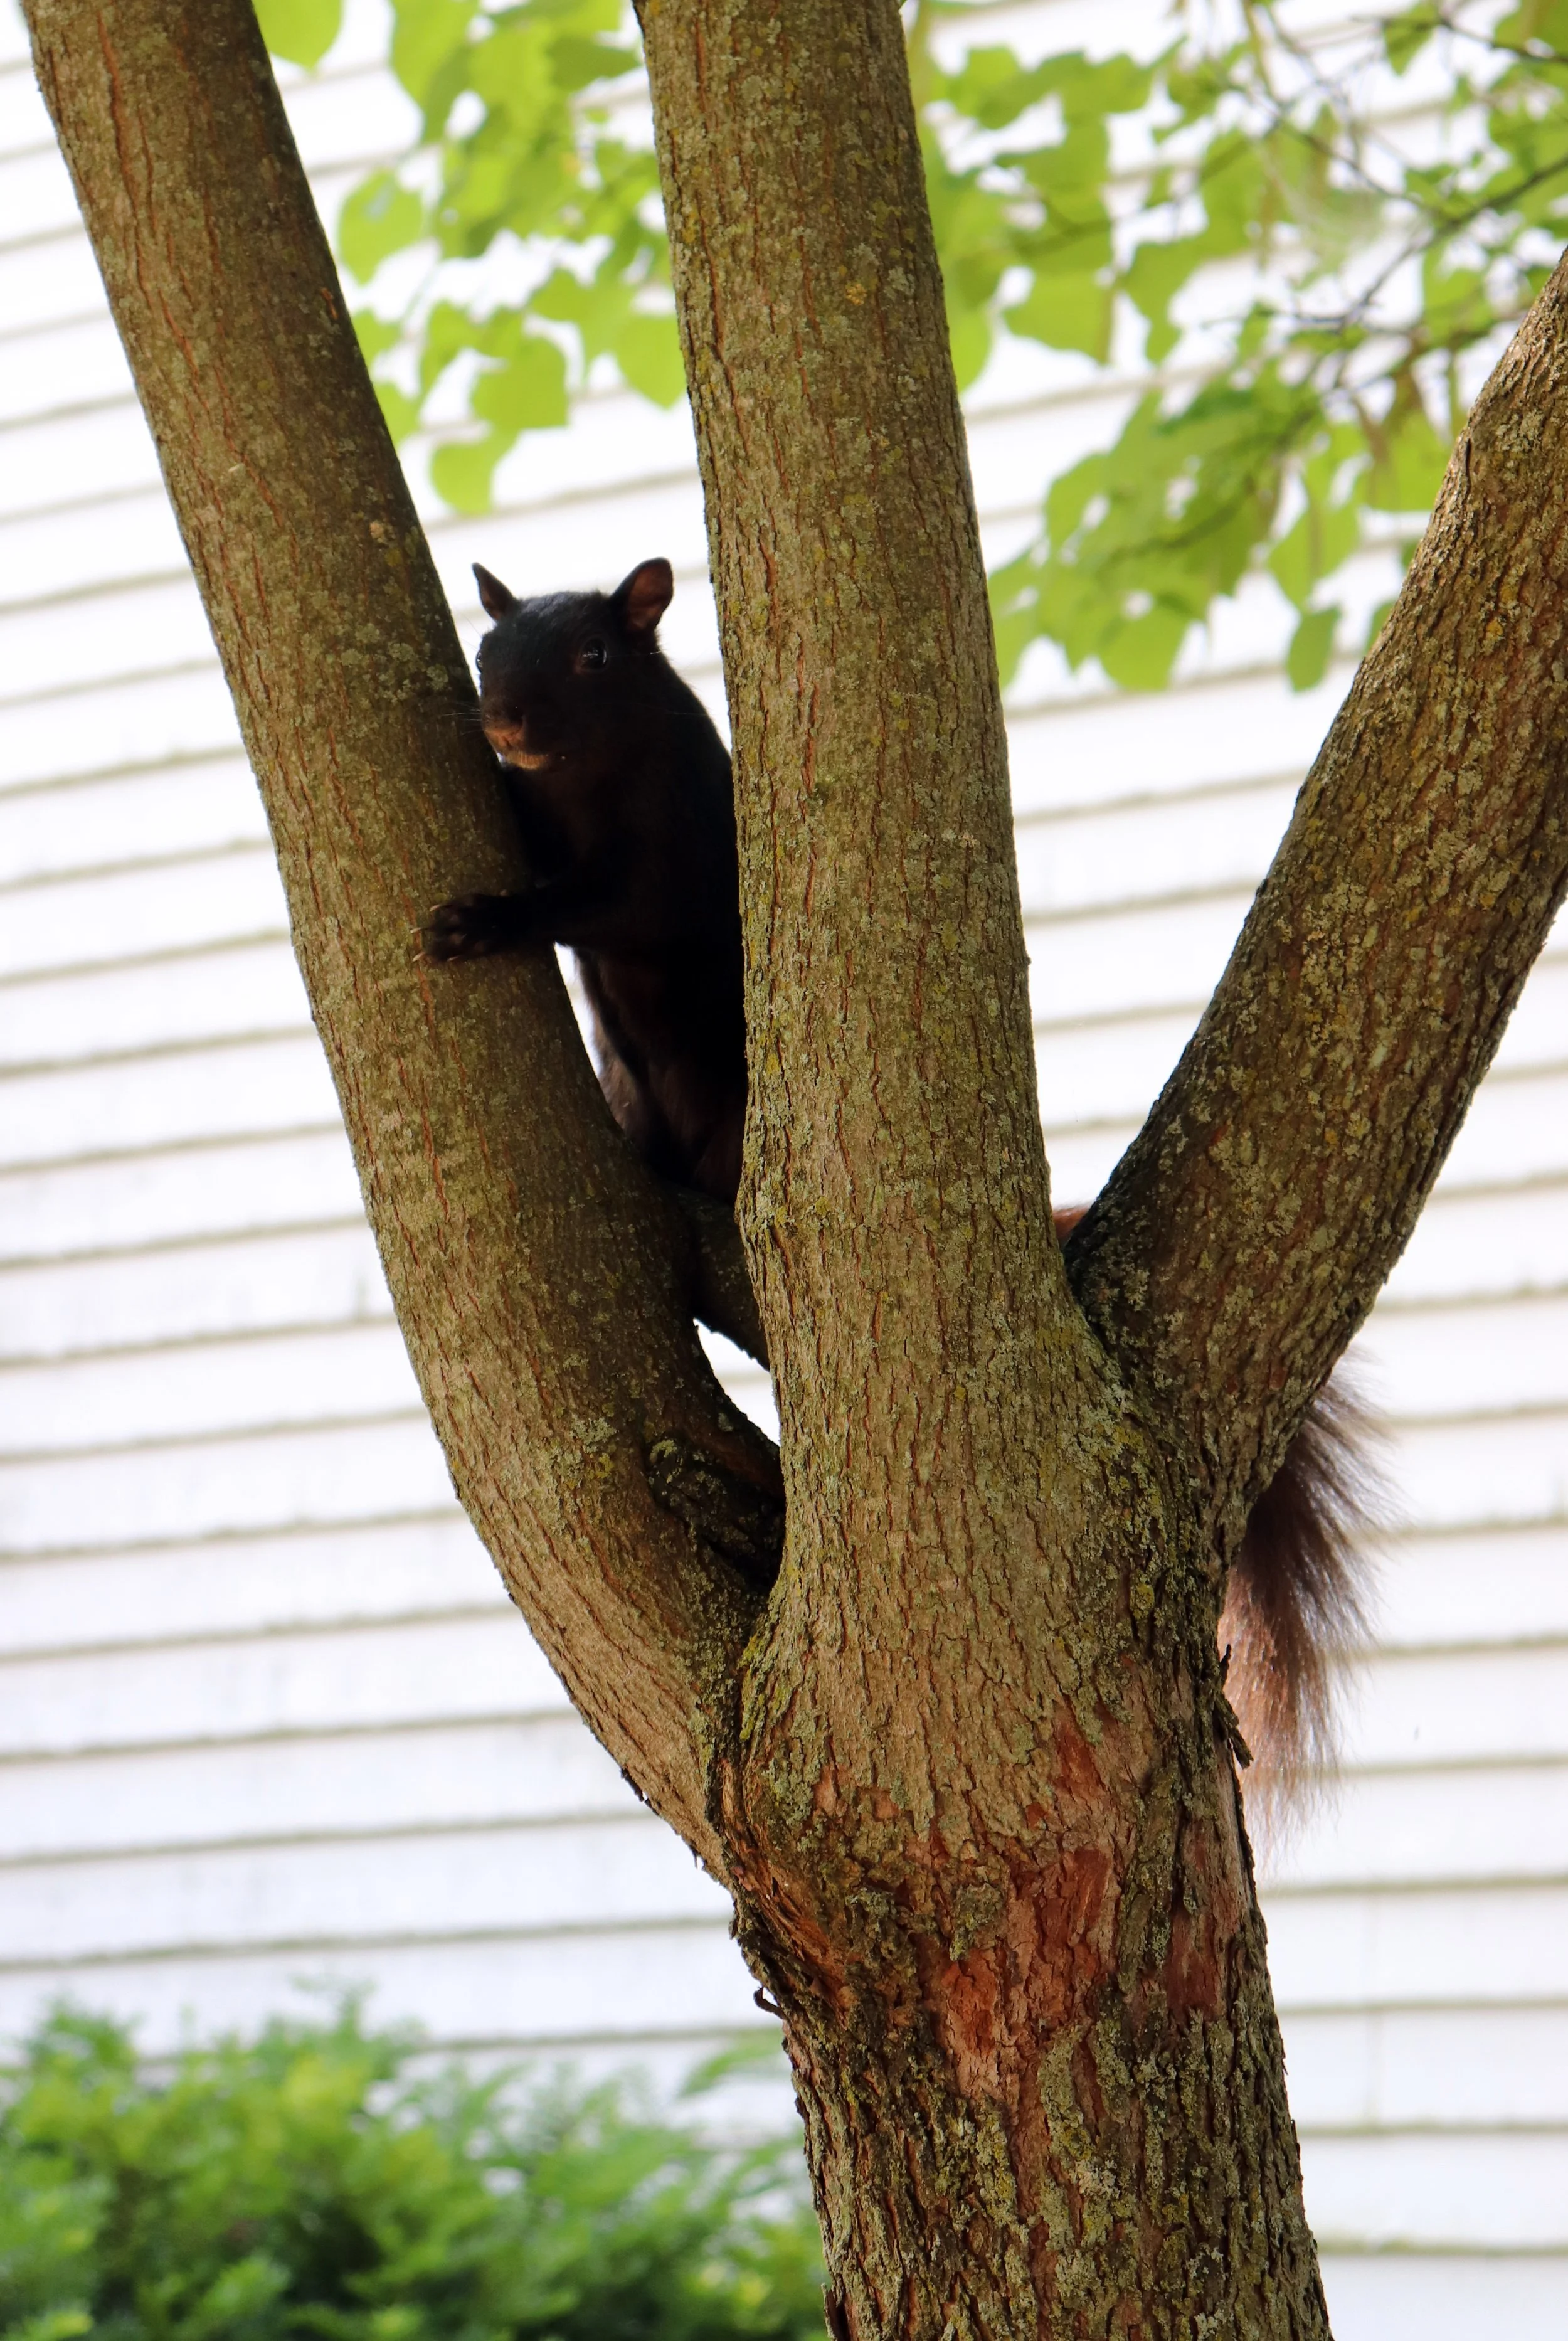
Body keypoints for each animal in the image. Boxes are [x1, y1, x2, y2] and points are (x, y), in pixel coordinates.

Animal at [425, 556, 1376, 1800]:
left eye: (595, 656)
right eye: (487, 650)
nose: (503, 722)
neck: (586, 780)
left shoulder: (670, 850)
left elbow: (606, 903)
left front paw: (488, 917)